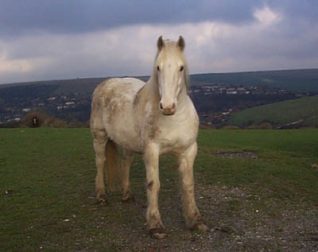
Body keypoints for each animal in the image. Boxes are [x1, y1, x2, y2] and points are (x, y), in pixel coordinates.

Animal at [90, 36, 207, 238]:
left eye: (181, 67)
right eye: (158, 67)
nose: (167, 106)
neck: (174, 119)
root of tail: (105, 85)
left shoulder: (188, 151)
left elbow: (188, 184)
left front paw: (194, 221)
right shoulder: (152, 151)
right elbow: (153, 184)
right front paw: (155, 225)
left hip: (127, 143)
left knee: (125, 163)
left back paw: (127, 195)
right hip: (99, 137)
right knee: (100, 162)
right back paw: (102, 196)